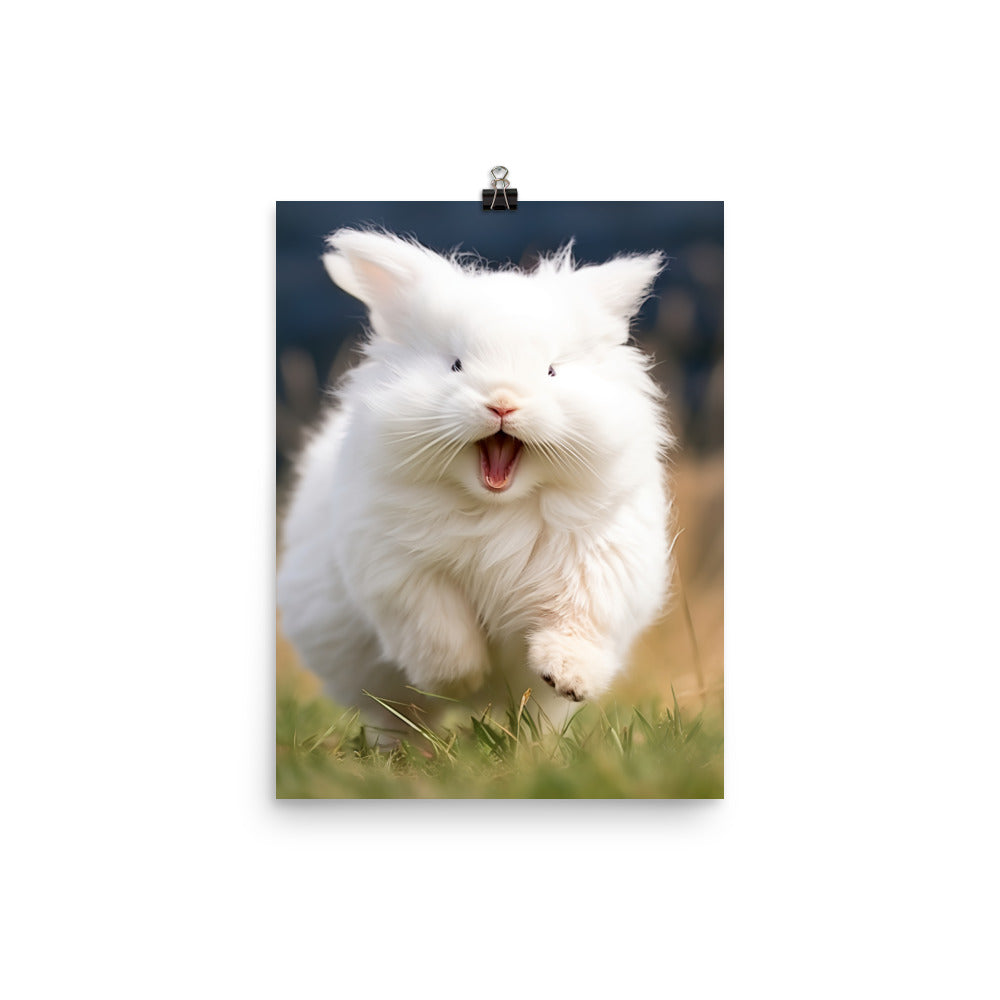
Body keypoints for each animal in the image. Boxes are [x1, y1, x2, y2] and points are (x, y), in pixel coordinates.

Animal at [277, 229, 674, 740]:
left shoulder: (595, 566)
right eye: (456, 365)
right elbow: (439, 629)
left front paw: (567, 677)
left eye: (551, 370)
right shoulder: (403, 574)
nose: (502, 403)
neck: (497, 504)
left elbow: (576, 622)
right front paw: (459, 679)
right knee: (398, 715)